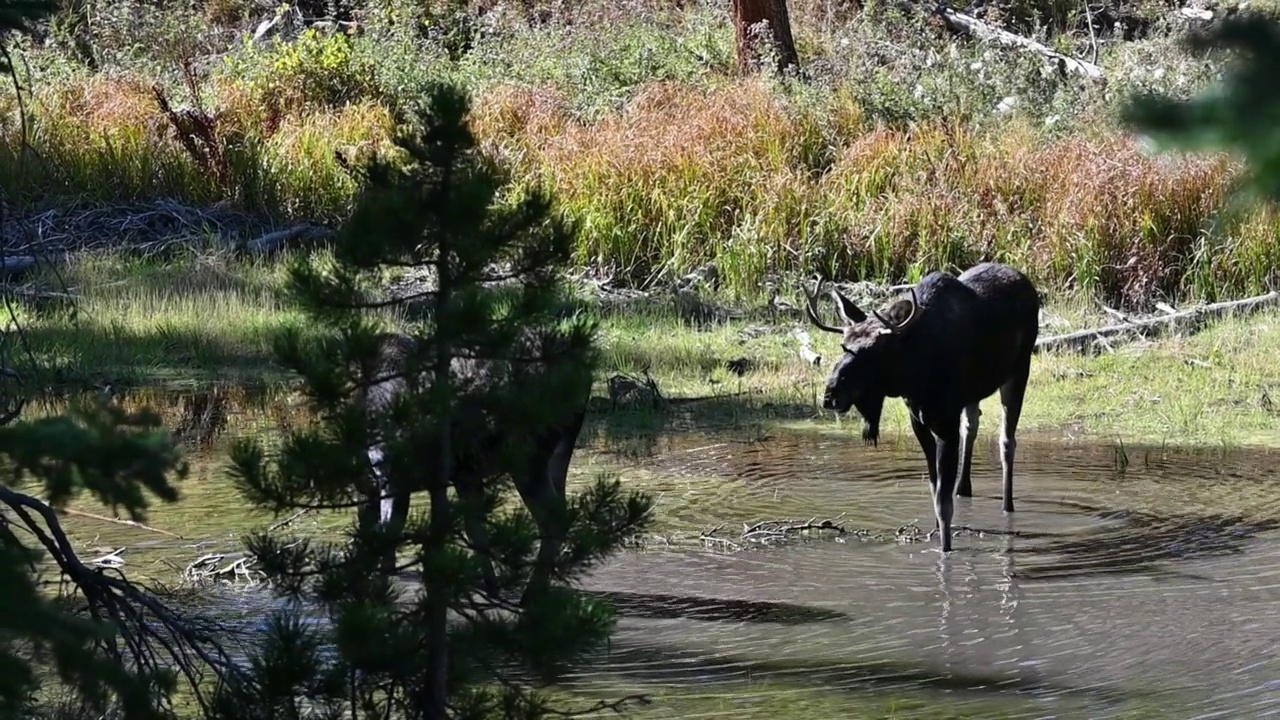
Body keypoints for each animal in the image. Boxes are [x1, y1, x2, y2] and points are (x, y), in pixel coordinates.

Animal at [808, 262, 1039, 548]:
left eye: (875, 350)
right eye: (844, 344)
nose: (831, 394)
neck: (915, 376)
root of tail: (1029, 285)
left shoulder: (945, 424)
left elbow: (943, 502)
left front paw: (945, 549)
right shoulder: (919, 420)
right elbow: (933, 489)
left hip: (1019, 371)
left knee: (1006, 441)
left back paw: (1008, 506)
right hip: (972, 393)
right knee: (971, 427)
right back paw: (964, 488)